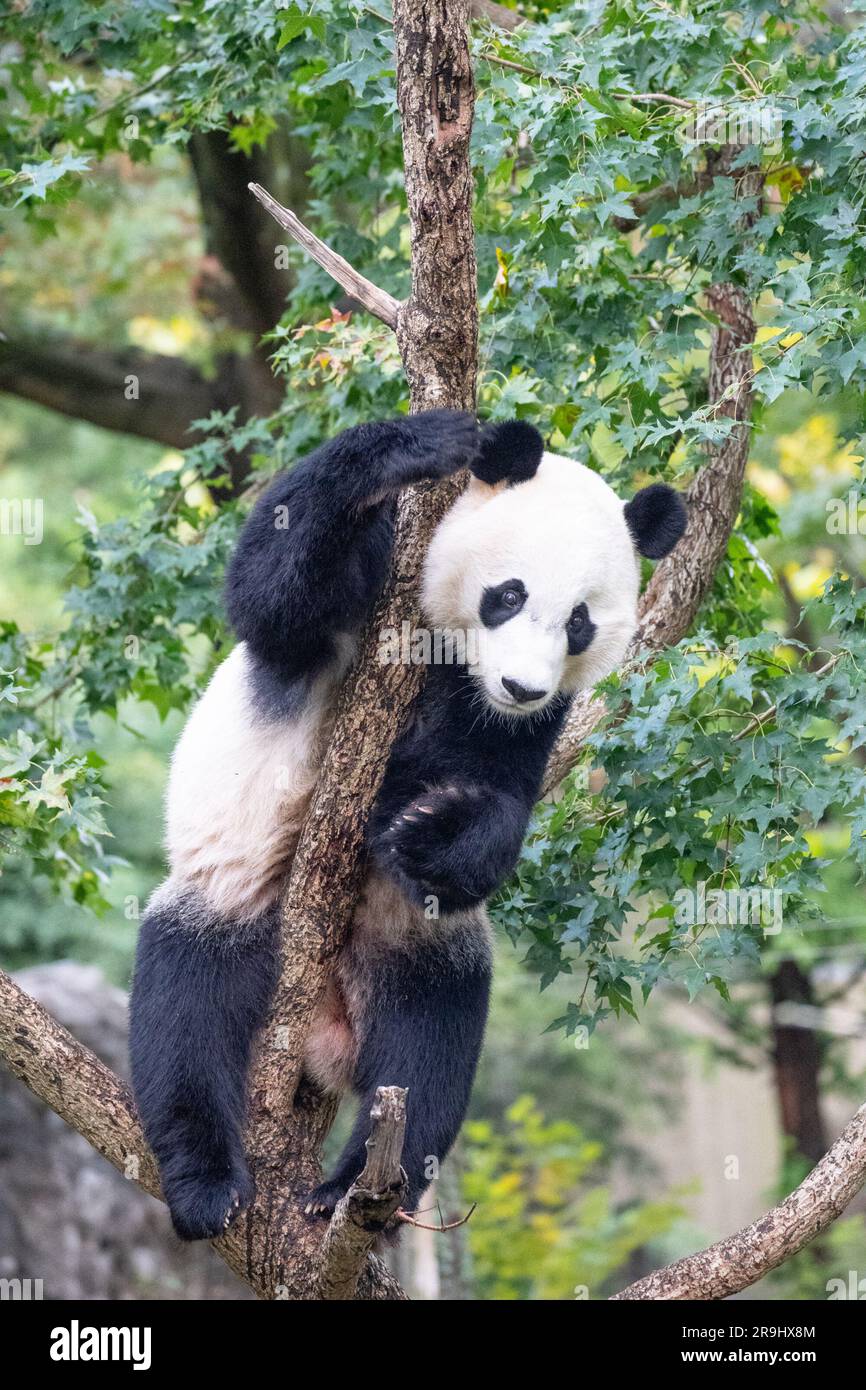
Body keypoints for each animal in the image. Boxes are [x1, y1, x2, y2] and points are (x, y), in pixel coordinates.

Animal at [128, 408, 683, 1239]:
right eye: (508, 594)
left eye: (580, 623)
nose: (521, 684)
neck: (456, 661)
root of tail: (325, 1035)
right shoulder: (382, 581)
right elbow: (274, 599)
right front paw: (416, 443)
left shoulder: (522, 725)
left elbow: (496, 801)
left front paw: (427, 829)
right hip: (230, 897)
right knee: (185, 999)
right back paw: (208, 1186)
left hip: (413, 943)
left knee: (431, 1047)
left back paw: (352, 1189)